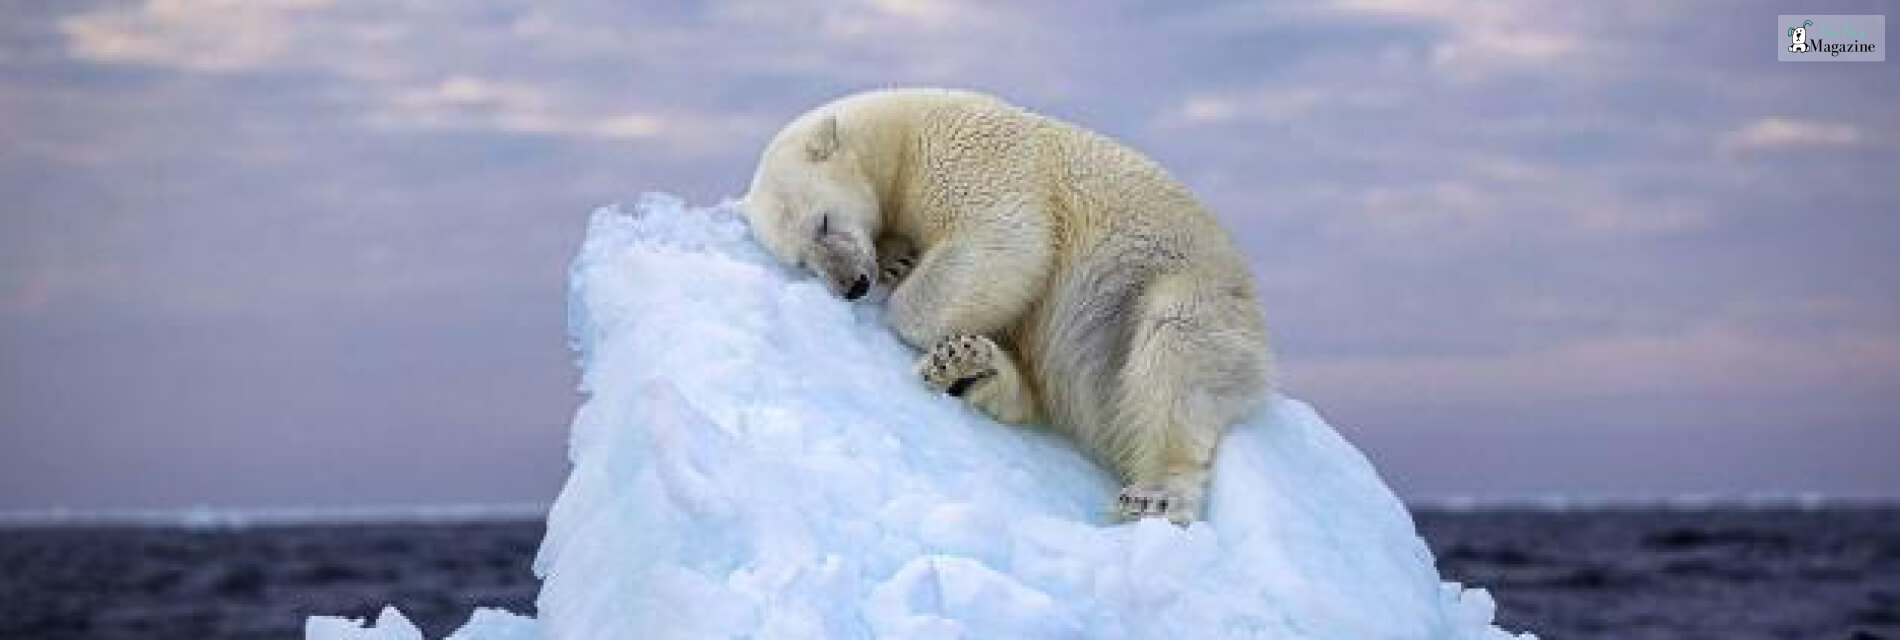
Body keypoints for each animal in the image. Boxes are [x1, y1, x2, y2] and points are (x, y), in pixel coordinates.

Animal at [733, 87, 1269, 520]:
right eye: (801, 261)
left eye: (823, 222)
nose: (853, 285)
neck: (900, 133)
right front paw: (896, 261)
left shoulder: (969, 155)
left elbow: (1006, 238)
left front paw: (901, 292)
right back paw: (967, 368)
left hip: (1183, 288)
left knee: (1176, 354)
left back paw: (1154, 494)